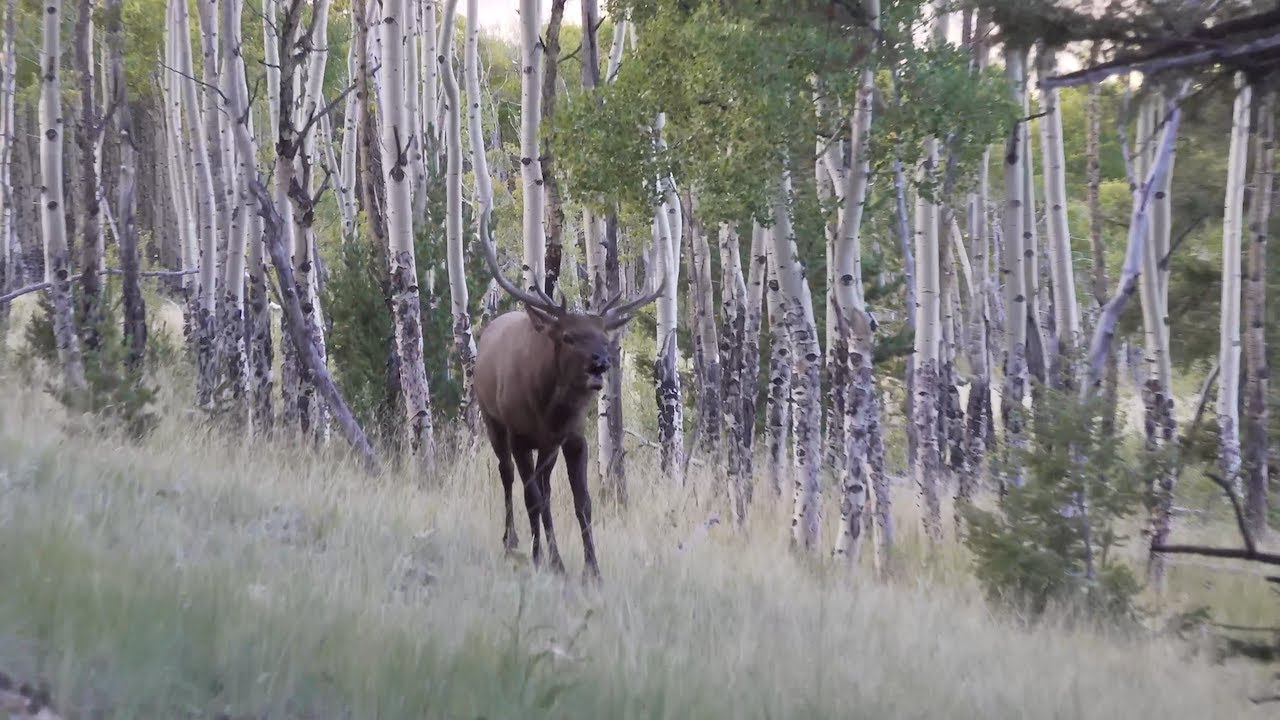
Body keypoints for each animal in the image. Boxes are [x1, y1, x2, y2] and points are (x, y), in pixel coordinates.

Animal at [474, 234, 662, 581]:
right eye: (568, 337)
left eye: (604, 337)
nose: (600, 363)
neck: (547, 410)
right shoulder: (520, 436)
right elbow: (531, 498)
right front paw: (537, 558)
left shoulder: (571, 437)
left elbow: (581, 501)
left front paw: (591, 569)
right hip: (492, 419)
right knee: (508, 475)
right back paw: (512, 541)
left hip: (548, 447)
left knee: (545, 488)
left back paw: (553, 556)